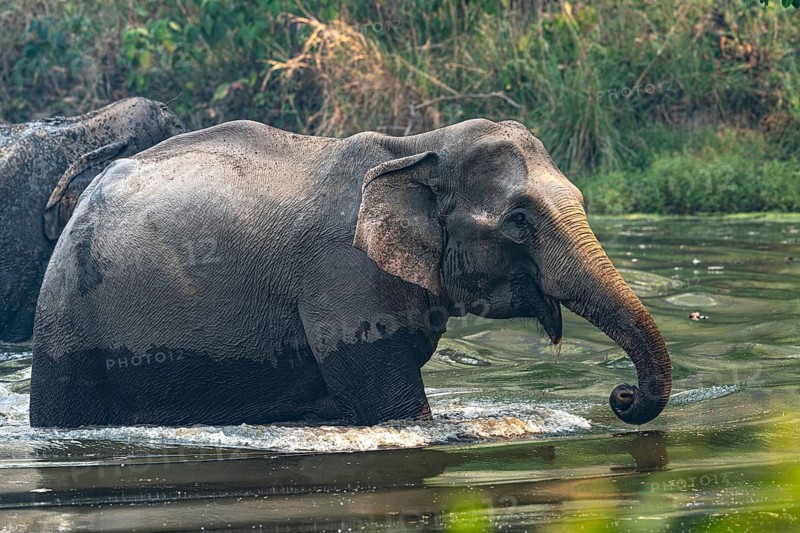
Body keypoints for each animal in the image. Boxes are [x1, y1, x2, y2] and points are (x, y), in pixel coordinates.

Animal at [29, 118, 672, 428]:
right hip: (68, 321)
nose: (619, 397)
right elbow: (393, 409)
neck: (416, 144)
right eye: (518, 222)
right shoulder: (343, 277)